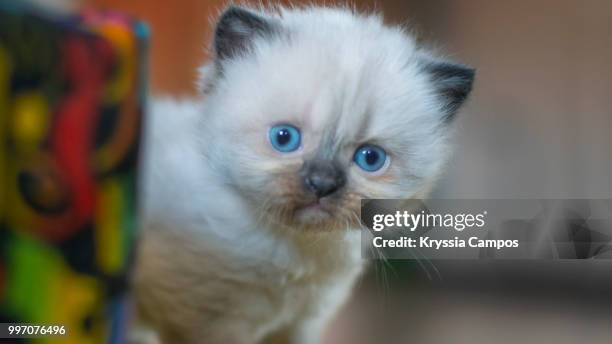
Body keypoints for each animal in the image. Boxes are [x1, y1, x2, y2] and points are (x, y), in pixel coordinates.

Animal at [136, 4, 476, 344]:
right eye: (284, 138)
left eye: (370, 158)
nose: (322, 184)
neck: (293, 250)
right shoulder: (212, 326)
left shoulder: (304, 322)